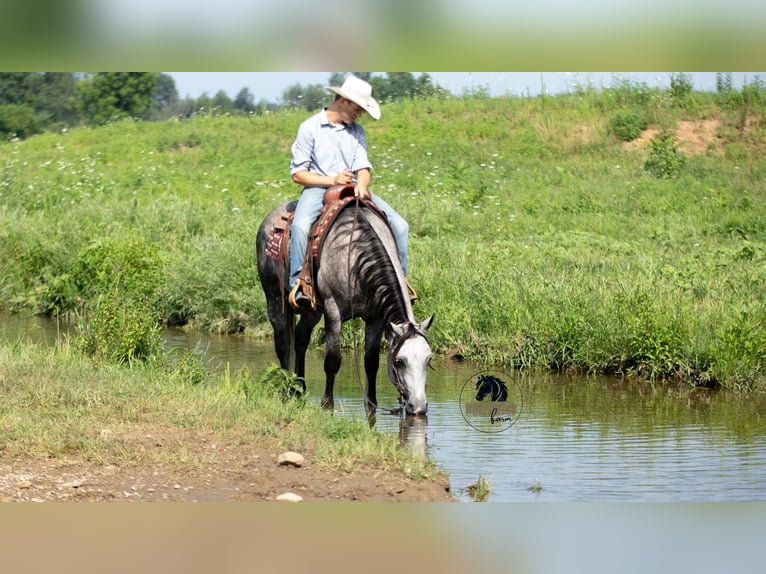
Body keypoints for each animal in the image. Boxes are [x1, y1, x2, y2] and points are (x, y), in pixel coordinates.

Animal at [256, 197, 434, 416]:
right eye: (399, 361)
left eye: (429, 359)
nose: (418, 407)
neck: (355, 260)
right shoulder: (333, 311)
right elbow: (333, 360)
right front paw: (327, 404)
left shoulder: (375, 318)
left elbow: (371, 362)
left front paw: (371, 405)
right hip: (275, 297)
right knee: (283, 343)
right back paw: (287, 390)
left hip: (313, 310)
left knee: (301, 338)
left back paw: (299, 388)